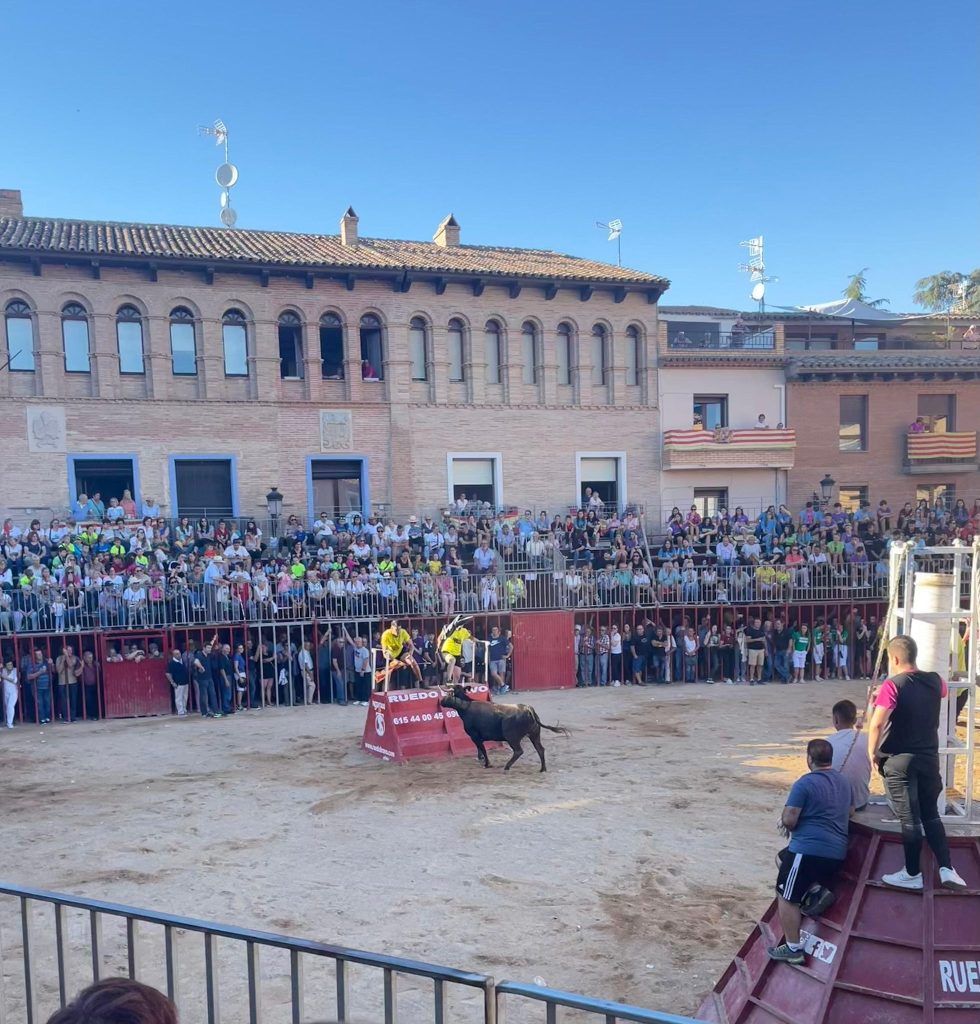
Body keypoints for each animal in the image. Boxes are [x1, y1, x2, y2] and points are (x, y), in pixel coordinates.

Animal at [440, 684, 569, 770]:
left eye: (448, 694)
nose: (441, 701)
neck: (466, 707)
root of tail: (528, 709)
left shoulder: (474, 736)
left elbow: (482, 749)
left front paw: (487, 764)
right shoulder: (477, 737)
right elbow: (479, 749)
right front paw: (481, 759)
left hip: (511, 737)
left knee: (518, 751)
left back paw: (506, 767)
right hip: (534, 735)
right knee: (540, 749)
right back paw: (542, 769)